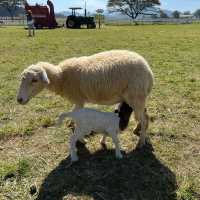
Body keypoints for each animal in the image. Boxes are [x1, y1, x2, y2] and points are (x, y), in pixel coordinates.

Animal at [17, 50, 155, 148]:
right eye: (22, 79)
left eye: (34, 80)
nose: (19, 99)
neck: (61, 77)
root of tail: (149, 70)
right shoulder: (78, 101)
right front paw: (73, 127)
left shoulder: (78, 100)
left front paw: (80, 138)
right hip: (138, 97)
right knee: (145, 115)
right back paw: (137, 130)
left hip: (136, 95)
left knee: (144, 119)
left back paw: (141, 142)